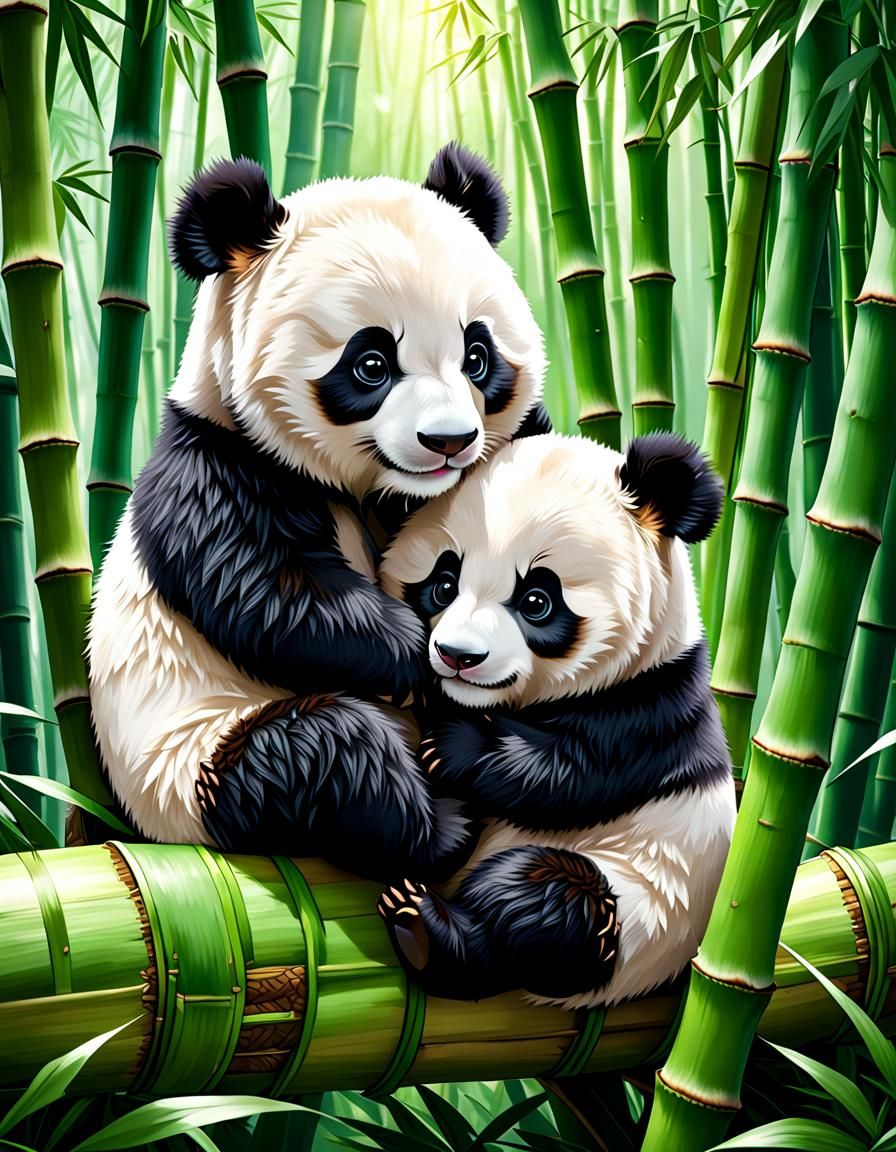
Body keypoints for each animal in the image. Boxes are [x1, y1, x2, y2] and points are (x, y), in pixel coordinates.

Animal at [87, 143, 550, 879]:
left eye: (477, 357)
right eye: (371, 364)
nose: (450, 441)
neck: (368, 487)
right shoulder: (218, 466)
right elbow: (270, 595)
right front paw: (414, 654)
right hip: (191, 767)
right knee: (326, 750)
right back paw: (444, 826)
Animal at [375, 431, 735, 1007]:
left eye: (537, 600)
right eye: (444, 585)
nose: (458, 656)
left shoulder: (650, 708)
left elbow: (565, 773)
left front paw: (452, 746)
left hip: (634, 911)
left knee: (545, 904)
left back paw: (427, 931)